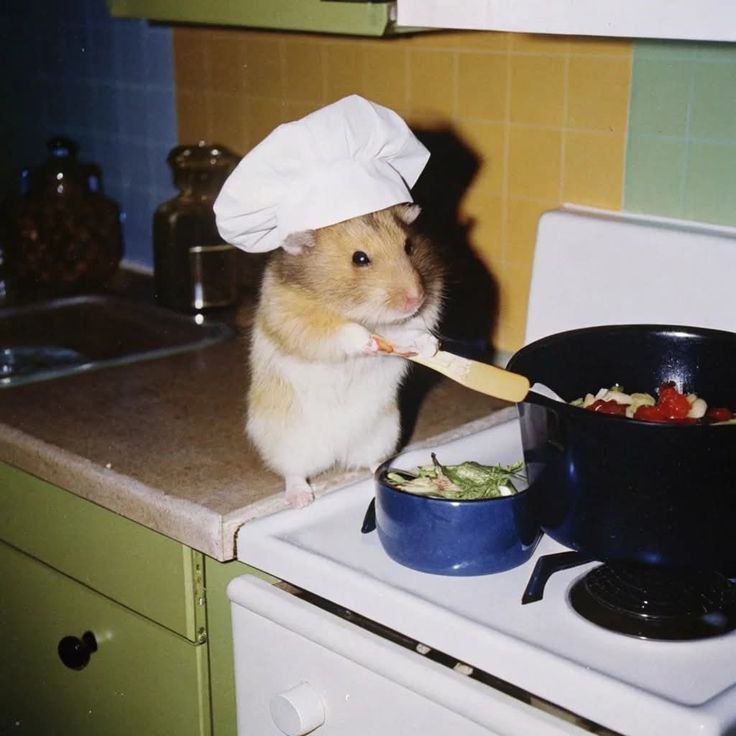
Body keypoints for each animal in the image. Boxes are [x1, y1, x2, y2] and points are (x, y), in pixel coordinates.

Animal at [246, 203, 445, 508]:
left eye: (409, 246)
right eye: (359, 258)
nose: (415, 299)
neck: (361, 310)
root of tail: (337, 453)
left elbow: (405, 332)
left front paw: (430, 347)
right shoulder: (297, 320)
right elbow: (344, 332)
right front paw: (370, 342)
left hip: (383, 433)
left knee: (372, 462)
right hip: (288, 442)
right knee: (294, 472)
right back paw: (301, 499)